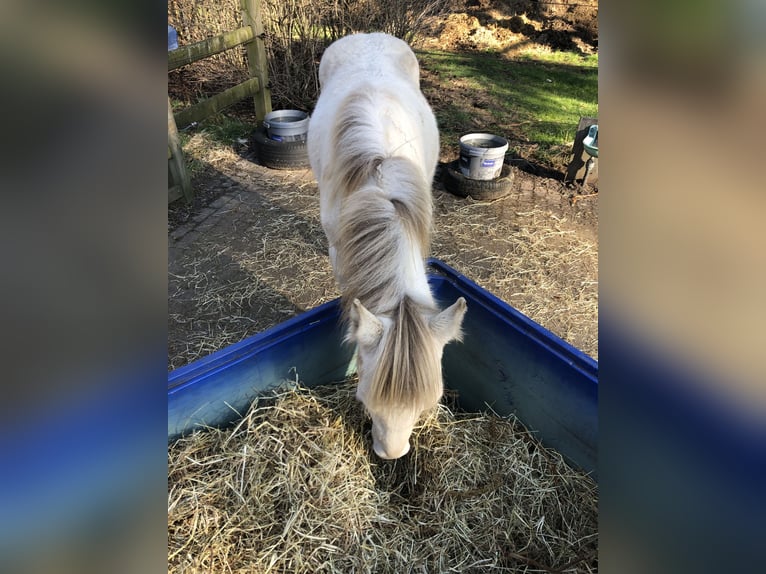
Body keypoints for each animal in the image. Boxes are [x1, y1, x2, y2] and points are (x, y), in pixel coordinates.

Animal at [308, 33, 468, 462]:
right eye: (365, 398)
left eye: (429, 402)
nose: (391, 454)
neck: (381, 191)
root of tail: (365, 36)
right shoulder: (339, 249)